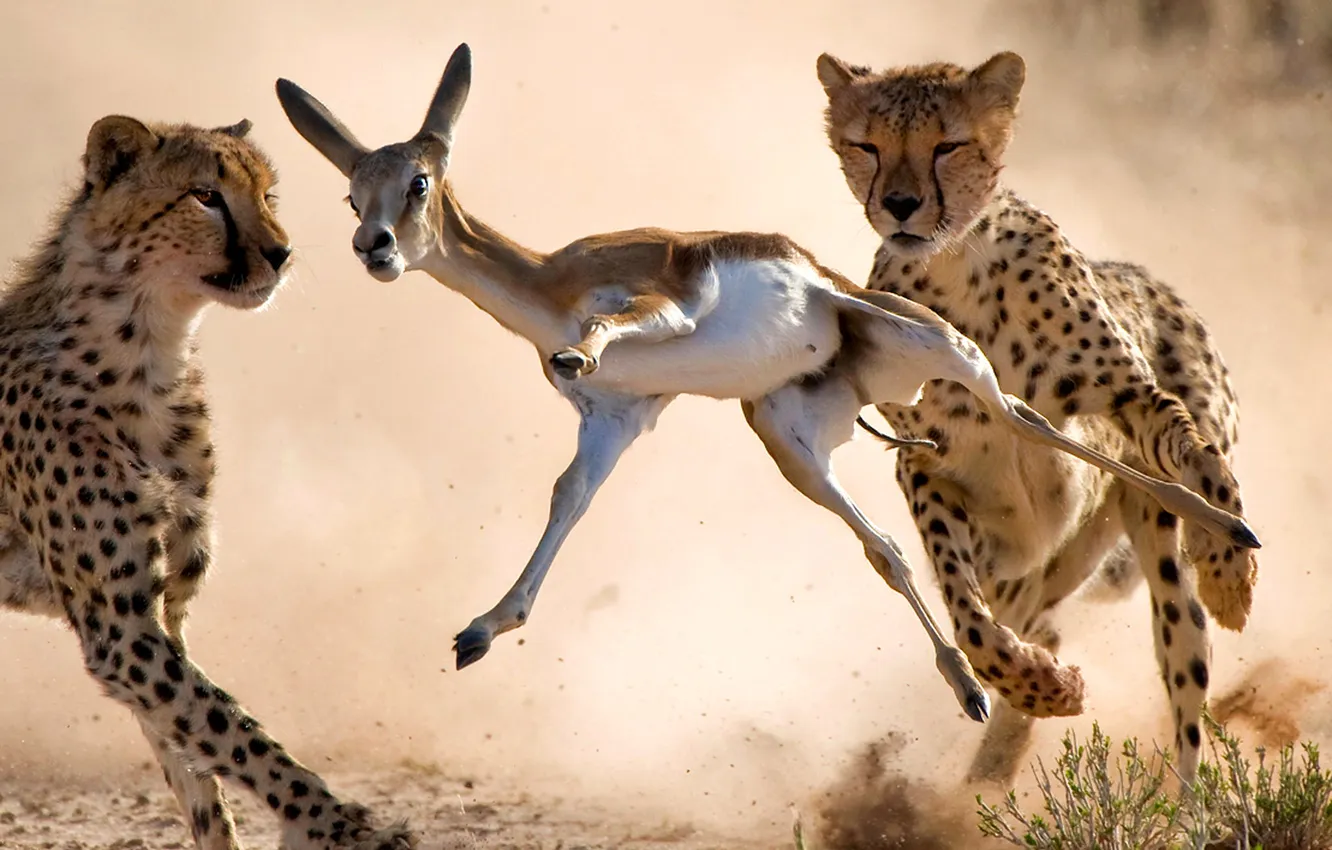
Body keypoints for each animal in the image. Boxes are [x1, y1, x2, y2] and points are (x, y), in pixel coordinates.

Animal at [0, 114, 415, 850]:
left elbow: (197, 763)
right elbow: (229, 728)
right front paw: (337, 824)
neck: (149, 350)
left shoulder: (161, 614)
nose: (281, 253)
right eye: (205, 196)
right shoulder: (121, 627)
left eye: (268, 194)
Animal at [815, 49, 1258, 785]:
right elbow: (966, 617)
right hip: (1029, 563)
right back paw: (995, 762)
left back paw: (1190, 799)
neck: (955, 262)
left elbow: (1203, 464)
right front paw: (1043, 686)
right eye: (866, 145)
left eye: (948, 145)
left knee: (1185, 690)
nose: (901, 205)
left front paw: (1230, 572)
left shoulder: (1130, 397)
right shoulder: (924, 463)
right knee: (1030, 617)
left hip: (1157, 566)